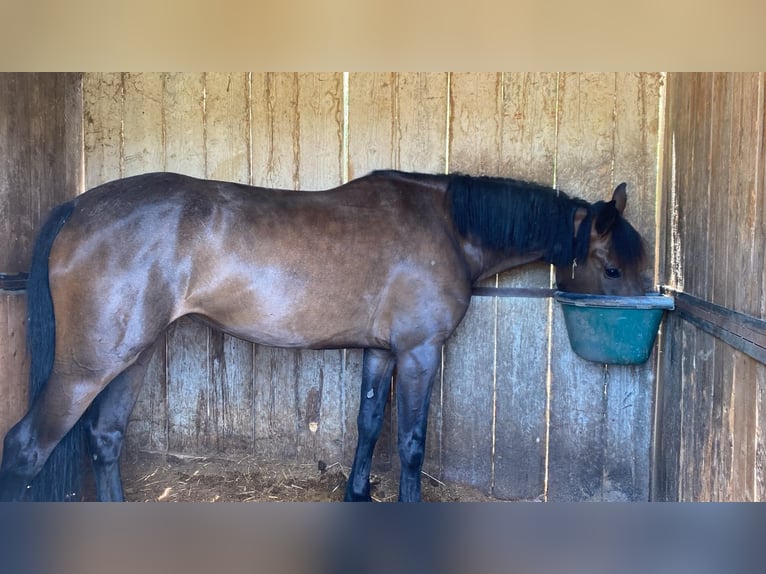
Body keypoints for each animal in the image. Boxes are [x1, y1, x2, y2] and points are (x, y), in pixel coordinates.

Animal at [0, 170, 646, 502]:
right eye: (613, 268)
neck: (447, 228)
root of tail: (79, 207)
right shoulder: (419, 352)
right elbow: (410, 443)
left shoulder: (380, 353)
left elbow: (368, 425)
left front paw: (357, 495)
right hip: (87, 367)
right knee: (27, 448)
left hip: (131, 357)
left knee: (105, 441)